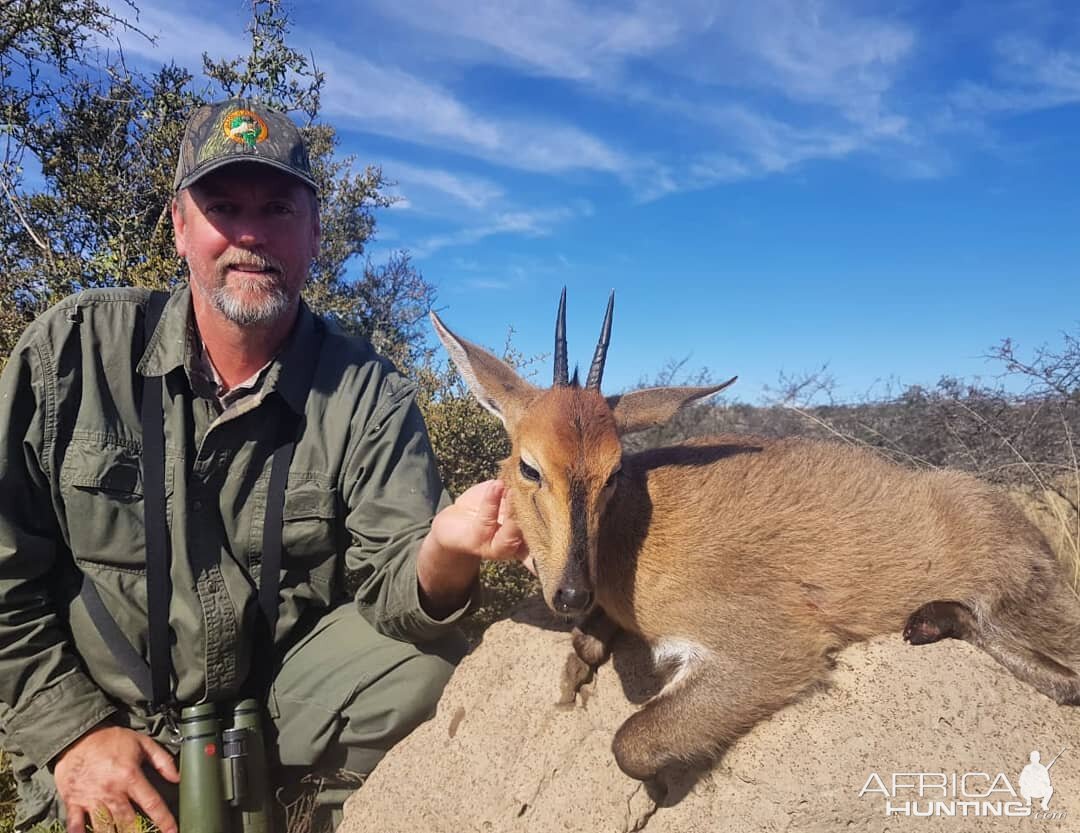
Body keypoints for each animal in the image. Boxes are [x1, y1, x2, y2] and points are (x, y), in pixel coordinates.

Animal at [429, 291, 1080, 782]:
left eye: (614, 471)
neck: (635, 535)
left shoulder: (773, 650)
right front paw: (577, 669)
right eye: (529, 465)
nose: (570, 593)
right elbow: (588, 651)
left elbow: (631, 742)